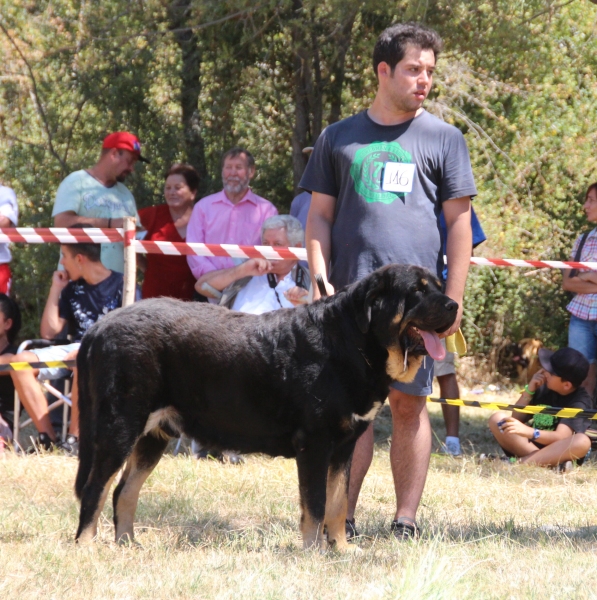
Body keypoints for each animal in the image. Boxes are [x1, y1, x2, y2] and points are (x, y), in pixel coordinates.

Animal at [74, 264, 456, 552]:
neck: (352, 343)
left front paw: (341, 549)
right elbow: (316, 504)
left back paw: (128, 544)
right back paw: (87, 546)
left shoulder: (344, 447)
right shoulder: (315, 443)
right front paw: (314, 552)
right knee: (95, 489)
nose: (453, 305)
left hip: (153, 435)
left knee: (124, 491)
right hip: (119, 427)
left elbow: (337, 503)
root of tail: (99, 326)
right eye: (418, 291)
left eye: (438, 286)